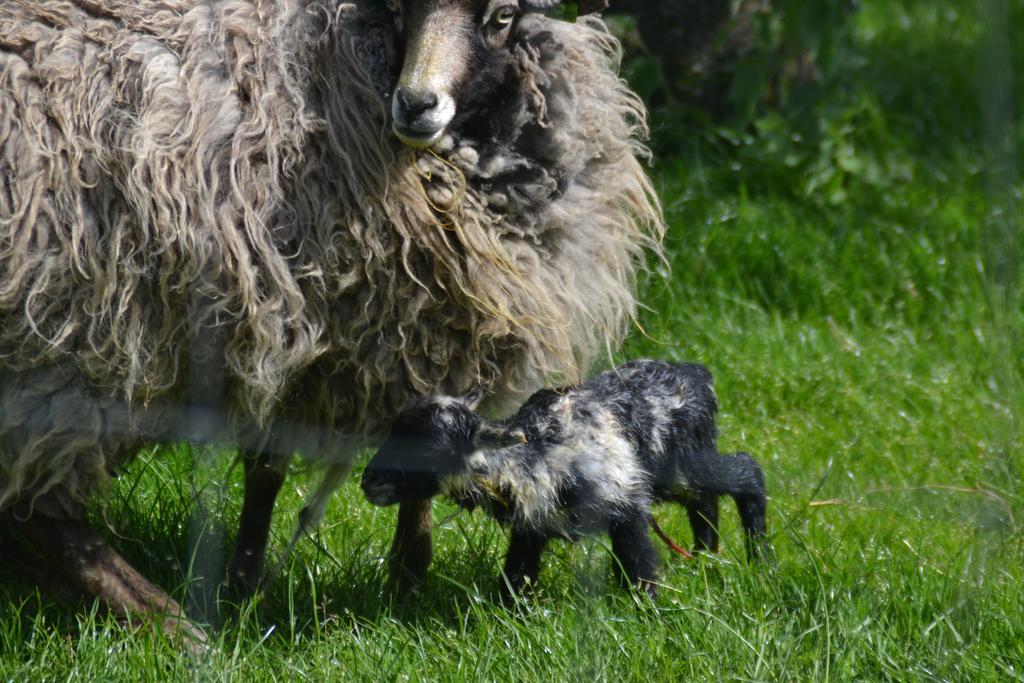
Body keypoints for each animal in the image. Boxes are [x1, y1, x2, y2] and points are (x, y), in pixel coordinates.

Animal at [0, 0, 663, 643]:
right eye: (399, 11)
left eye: (500, 17)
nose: (415, 103)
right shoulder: (319, 332)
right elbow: (287, 468)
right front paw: (302, 580)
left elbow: (293, 467)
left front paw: (372, 577)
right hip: (69, 345)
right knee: (43, 513)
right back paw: (172, 625)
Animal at [360, 358, 770, 598]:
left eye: (425, 449)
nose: (368, 481)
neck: (538, 452)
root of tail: (697, 374)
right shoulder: (532, 524)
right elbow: (517, 575)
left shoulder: (625, 500)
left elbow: (639, 563)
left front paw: (647, 611)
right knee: (705, 498)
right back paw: (705, 555)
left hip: (683, 460)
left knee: (746, 471)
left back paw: (760, 559)